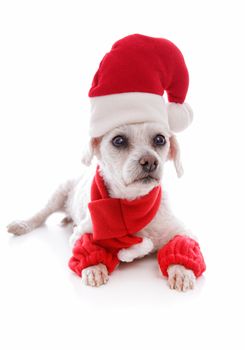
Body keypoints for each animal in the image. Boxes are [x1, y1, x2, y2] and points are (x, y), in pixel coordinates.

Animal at [6, 121, 196, 292]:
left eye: (160, 139)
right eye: (118, 140)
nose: (150, 161)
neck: (132, 205)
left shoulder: (179, 230)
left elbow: (181, 245)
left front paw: (181, 270)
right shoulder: (84, 231)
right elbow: (87, 248)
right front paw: (95, 267)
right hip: (59, 193)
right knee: (41, 214)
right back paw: (23, 224)